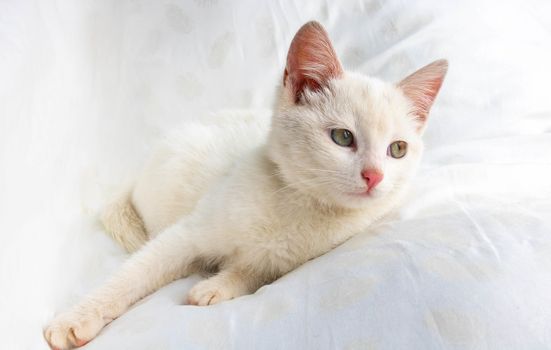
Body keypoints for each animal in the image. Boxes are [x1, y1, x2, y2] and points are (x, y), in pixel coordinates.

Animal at [43, 21, 448, 350]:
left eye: (397, 149)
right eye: (342, 137)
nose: (374, 176)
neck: (300, 205)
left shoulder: (299, 257)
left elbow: (257, 270)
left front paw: (217, 286)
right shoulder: (188, 232)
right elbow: (135, 272)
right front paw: (76, 317)